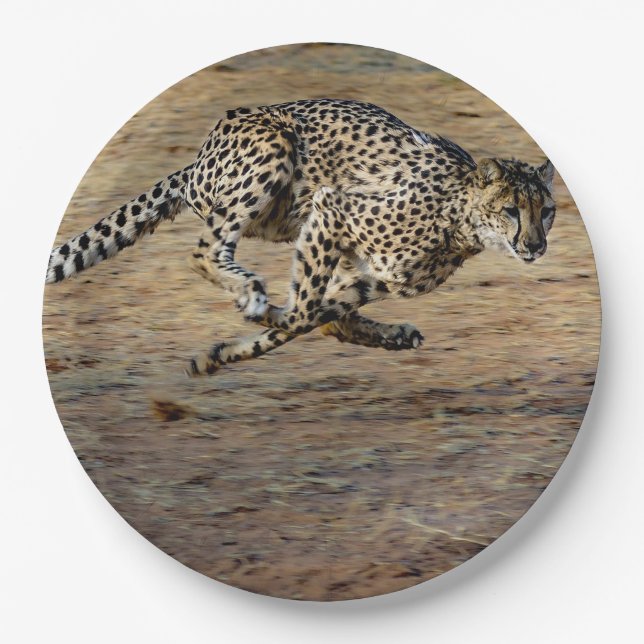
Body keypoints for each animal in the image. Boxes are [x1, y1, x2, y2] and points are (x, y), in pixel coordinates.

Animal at [45, 99, 556, 376]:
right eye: (512, 210)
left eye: (547, 212)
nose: (535, 246)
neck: (460, 219)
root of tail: (196, 160)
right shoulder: (333, 208)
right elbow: (303, 314)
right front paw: (255, 319)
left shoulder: (372, 276)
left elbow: (316, 318)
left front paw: (219, 354)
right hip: (276, 148)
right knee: (205, 250)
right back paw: (250, 292)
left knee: (330, 318)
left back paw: (389, 335)